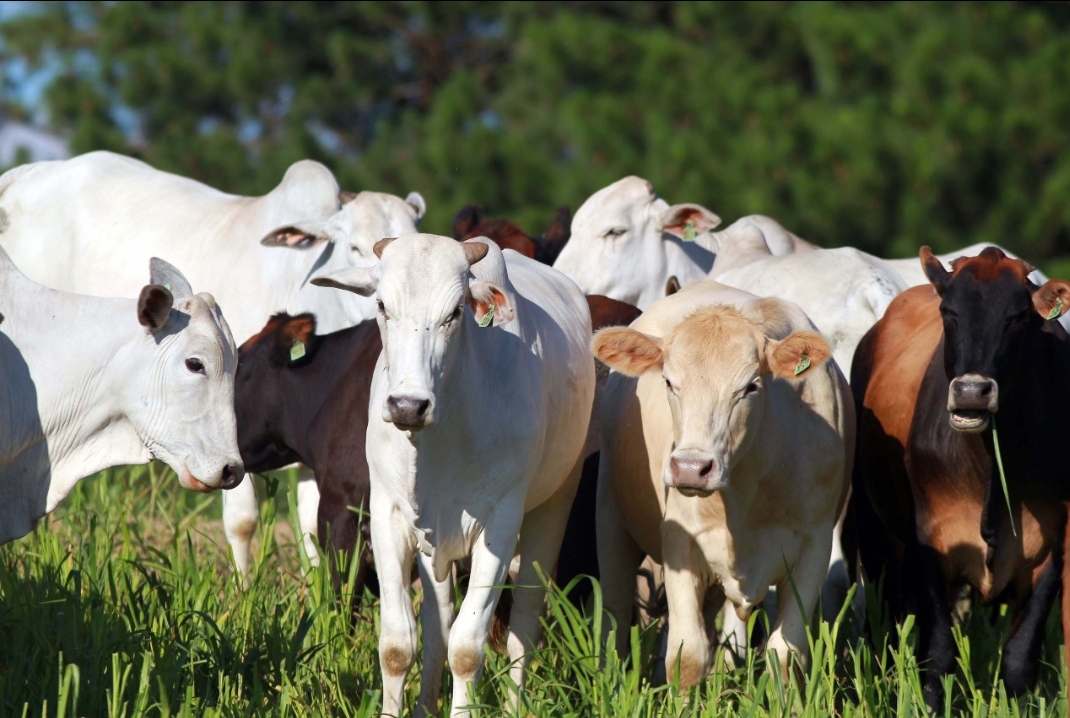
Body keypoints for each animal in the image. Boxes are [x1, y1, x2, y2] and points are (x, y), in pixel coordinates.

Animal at [310, 234, 599, 714]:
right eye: (382, 305)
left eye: (455, 312)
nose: (408, 405)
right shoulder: (388, 516)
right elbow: (397, 645)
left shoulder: (499, 524)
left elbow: (467, 649)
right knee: (438, 621)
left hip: (554, 505)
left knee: (523, 625)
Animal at [851, 247, 1070, 706]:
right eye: (949, 313)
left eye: (1017, 317)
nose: (972, 392)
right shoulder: (931, 541)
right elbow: (937, 654)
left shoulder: (1051, 548)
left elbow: (1019, 660)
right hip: (874, 530)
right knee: (883, 620)